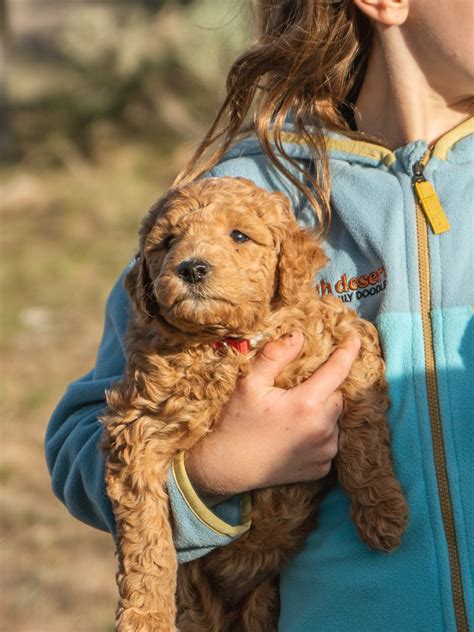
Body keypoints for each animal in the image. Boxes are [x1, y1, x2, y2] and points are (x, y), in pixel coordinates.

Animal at [102, 177, 410, 632]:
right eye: (169, 241)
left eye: (239, 236)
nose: (191, 268)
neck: (230, 344)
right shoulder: (139, 431)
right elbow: (146, 538)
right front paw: (146, 617)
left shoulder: (348, 341)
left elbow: (363, 435)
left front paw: (382, 513)